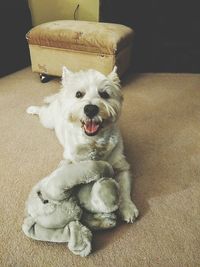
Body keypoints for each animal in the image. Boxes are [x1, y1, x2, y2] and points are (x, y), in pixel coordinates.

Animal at [26, 67, 139, 224]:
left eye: (104, 94)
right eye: (79, 94)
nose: (90, 109)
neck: (93, 142)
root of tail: (61, 95)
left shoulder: (122, 167)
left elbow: (124, 188)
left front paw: (127, 207)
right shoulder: (70, 160)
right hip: (48, 120)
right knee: (42, 110)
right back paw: (32, 109)